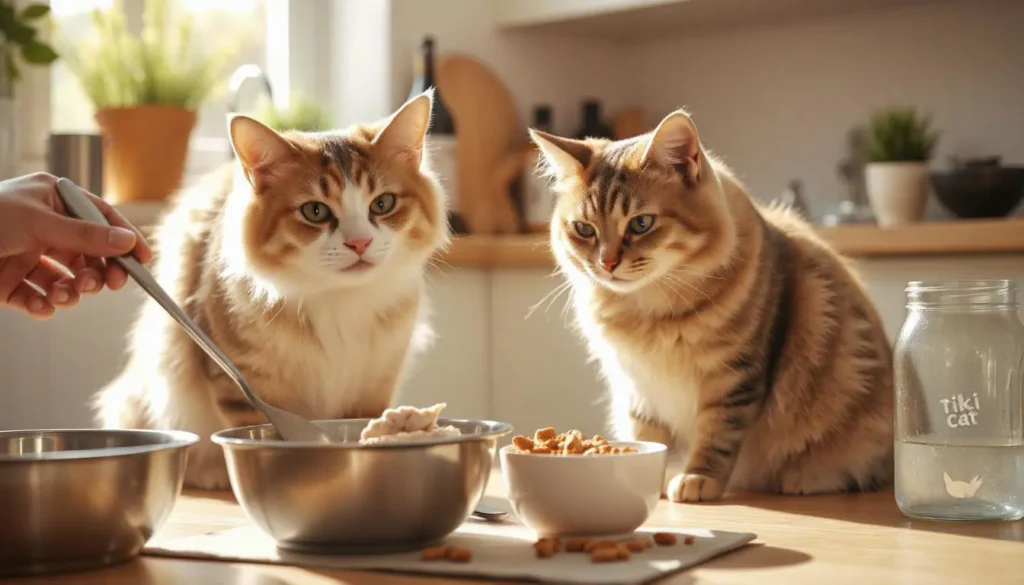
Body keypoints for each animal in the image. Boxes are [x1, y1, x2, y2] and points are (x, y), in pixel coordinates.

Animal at [96, 91, 448, 489]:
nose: (359, 243)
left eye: (383, 203)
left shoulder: (377, 379)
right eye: (315, 211)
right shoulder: (245, 380)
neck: (339, 300)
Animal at [532, 107, 892, 502]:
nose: (606, 263)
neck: (649, 313)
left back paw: (804, 479)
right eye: (584, 229)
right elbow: (646, 437)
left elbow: (717, 436)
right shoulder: (638, 387)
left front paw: (696, 479)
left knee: (863, 471)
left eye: (641, 224)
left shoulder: (734, 377)